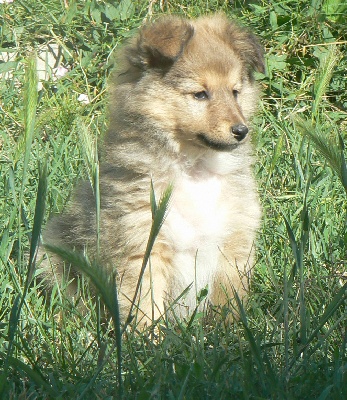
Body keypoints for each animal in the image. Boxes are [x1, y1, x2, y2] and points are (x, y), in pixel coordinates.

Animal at [40, 14, 266, 326]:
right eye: (200, 94)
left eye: (235, 92)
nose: (241, 131)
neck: (195, 168)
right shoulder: (143, 247)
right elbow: (145, 305)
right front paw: (148, 338)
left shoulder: (233, 240)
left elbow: (229, 300)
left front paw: (233, 333)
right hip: (50, 251)